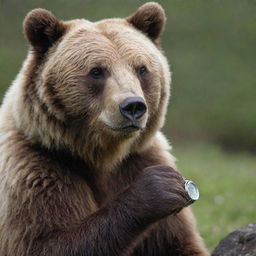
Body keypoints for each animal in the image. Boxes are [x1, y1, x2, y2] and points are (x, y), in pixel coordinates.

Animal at [0, 2, 209, 256]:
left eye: (141, 69)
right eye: (97, 71)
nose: (133, 106)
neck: (101, 155)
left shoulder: (138, 158)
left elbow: (178, 243)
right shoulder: (37, 168)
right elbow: (46, 242)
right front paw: (159, 187)